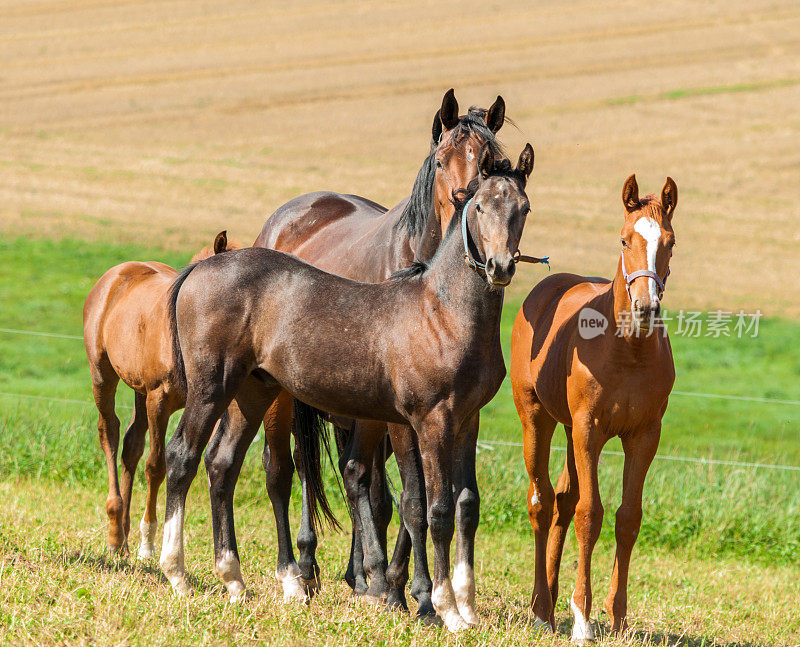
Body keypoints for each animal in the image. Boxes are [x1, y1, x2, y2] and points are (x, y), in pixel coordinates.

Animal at [84, 232, 242, 556]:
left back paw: (124, 533)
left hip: (139, 390)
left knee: (131, 444)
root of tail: (114, 275)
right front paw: (148, 543)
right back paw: (115, 533)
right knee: (110, 432)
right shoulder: (159, 400)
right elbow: (156, 466)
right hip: (103, 375)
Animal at [159, 143, 536, 632]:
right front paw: (443, 609)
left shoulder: (467, 420)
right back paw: (179, 575)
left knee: (222, 465)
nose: (499, 267)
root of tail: (200, 268)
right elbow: (434, 510)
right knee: (182, 457)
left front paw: (467, 607)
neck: (442, 313)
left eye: (523, 208)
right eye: (480, 206)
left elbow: (467, 504)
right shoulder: (429, 420)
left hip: (252, 392)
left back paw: (236, 582)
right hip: (212, 388)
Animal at [225, 88, 504, 612]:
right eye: (441, 161)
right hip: (285, 397)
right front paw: (409, 590)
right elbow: (409, 499)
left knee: (355, 479)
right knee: (287, 472)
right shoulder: (401, 416)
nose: (464, 204)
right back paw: (301, 568)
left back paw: (356, 574)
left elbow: (403, 496)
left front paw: (395, 583)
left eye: (489, 161)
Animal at [512, 176, 676, 644]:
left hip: (569, 431)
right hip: (538, 418)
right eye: (624, 240)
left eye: (670, 243)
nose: (646, 307)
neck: (629, 350)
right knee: (542, 501)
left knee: (563, 502)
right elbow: (590, 514)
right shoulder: (590, 430)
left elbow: (627, 517)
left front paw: (617, 617)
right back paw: (541, 609)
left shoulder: (644, 435)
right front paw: (583, 619)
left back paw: (551, 601)